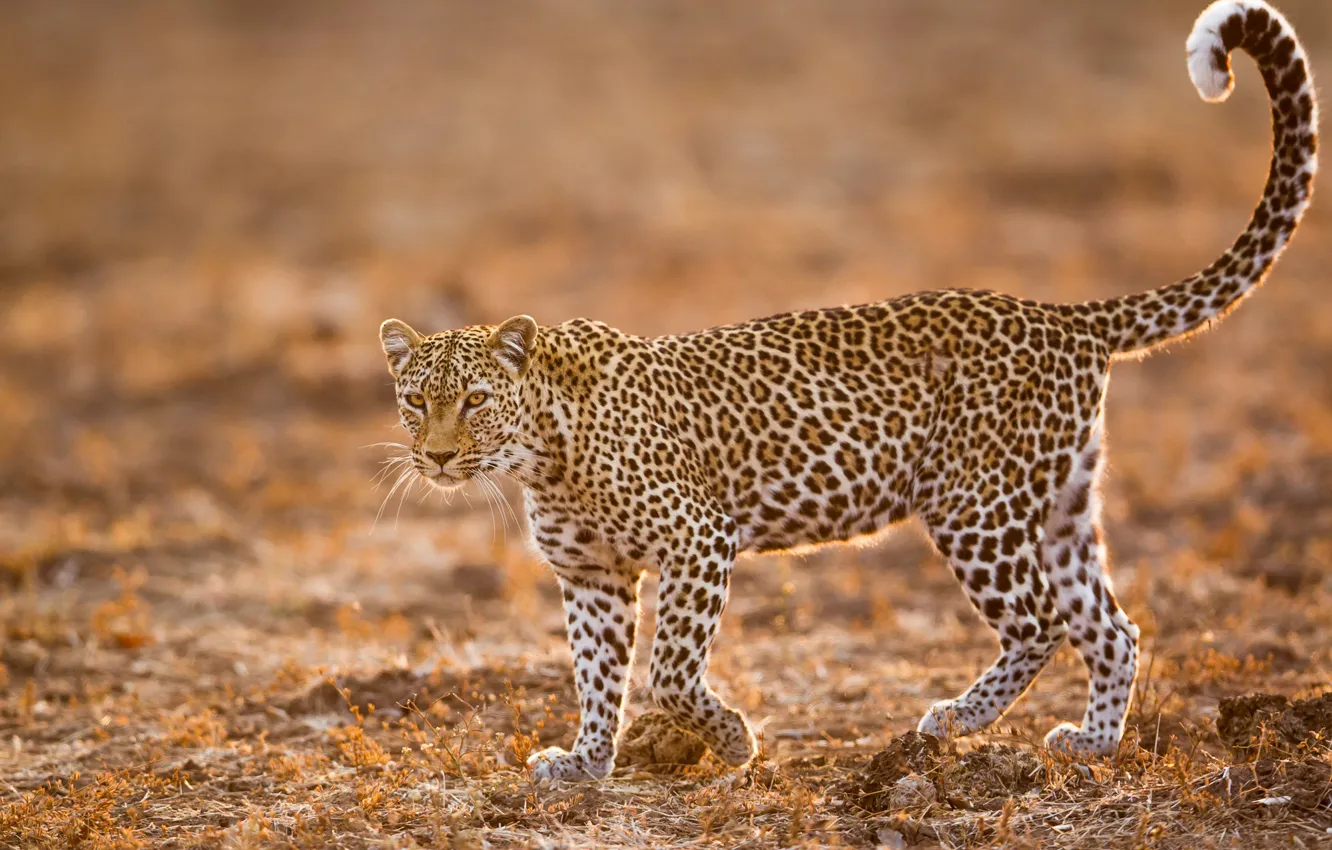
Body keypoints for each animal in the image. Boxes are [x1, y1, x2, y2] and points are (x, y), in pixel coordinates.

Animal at [377, 0, 1317, 781]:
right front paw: (585, 763)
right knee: (1111, 627)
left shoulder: (698, 539)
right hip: (1058, 507)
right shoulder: (591, 577)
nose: (439, 457)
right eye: (417, 401)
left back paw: (953, 723)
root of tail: (1063, 316)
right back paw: (1091, 744)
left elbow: (672, 670)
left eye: (475, 400)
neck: (543, 454)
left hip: (974, 506)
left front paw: (729, 740)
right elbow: (596, 675)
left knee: (1041, 622)